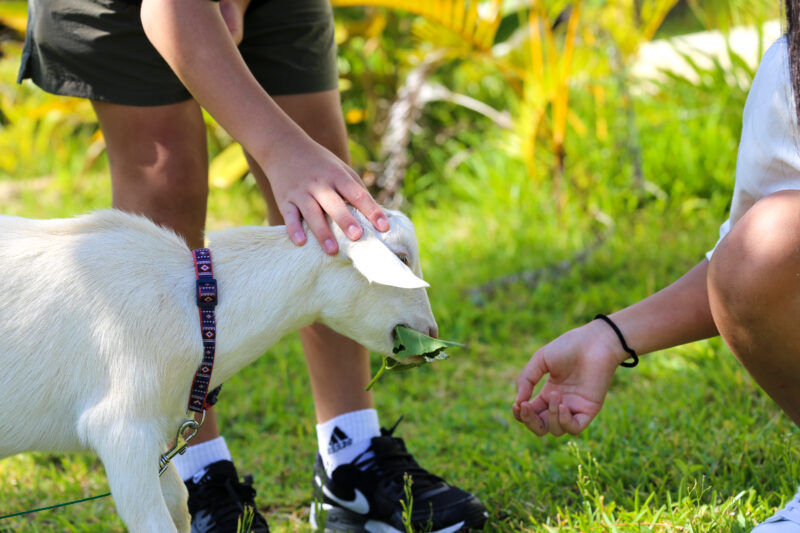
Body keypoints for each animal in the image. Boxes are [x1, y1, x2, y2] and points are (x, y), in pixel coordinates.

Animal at [0, 207, 438, 532]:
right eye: (401, 259)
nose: (431, 334)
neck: (198, 310)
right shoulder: (122, 430)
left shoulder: (158, 438)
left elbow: (179, 502)